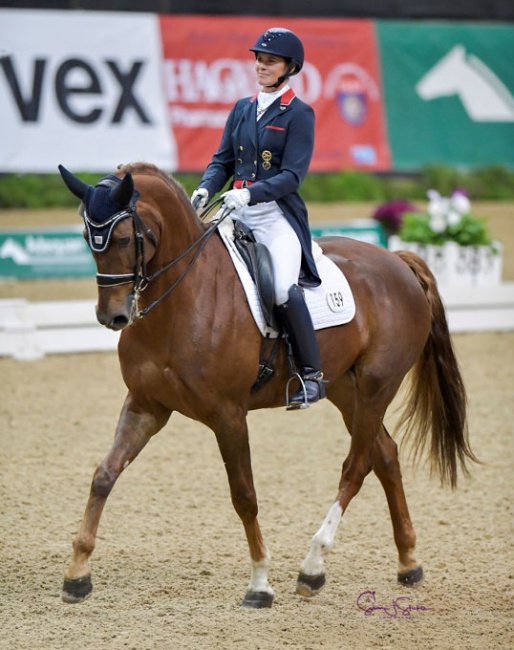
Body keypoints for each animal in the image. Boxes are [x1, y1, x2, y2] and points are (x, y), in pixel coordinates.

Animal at [57, 162, 476, 608]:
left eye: (122, 238)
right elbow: (104, 475)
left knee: (356, 466)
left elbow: (244, 495)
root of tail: (396, 261)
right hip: (348, 391)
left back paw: (313, 568)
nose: (112, 316)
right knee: (385, 456)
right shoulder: (145, 405)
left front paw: (259, 583)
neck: (182, 299)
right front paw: (77, 574)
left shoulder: (228, 415)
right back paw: (408, 563)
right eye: (86, 238)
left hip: (378, 385)